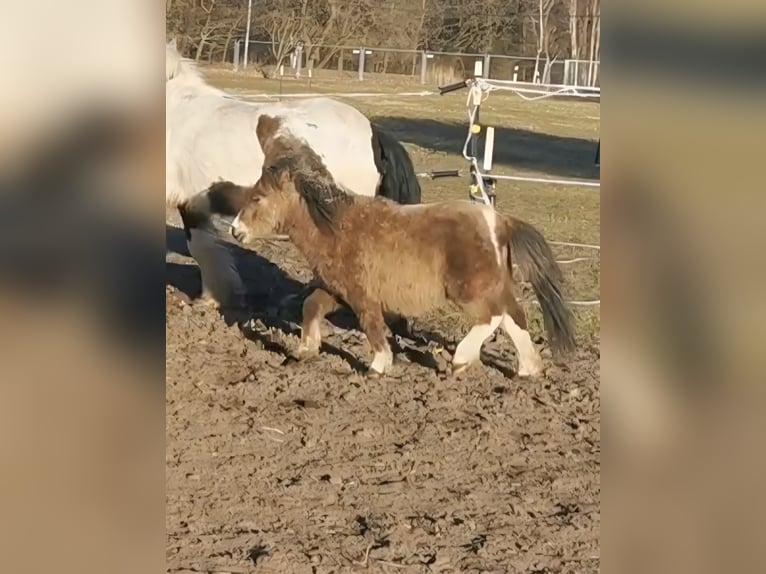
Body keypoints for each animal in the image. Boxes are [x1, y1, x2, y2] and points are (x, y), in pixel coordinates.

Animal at [205, 115, 576, 376]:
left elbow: (371, 326)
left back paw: (461, 360)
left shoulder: (363, 295)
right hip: (493, 286)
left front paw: (378, 365)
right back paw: (528, 369)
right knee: (514, 318)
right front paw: (306, 350)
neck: (337, 227)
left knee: (494, 316)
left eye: (257, 197)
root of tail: (500, 221)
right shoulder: (335, 290)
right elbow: (311, 307)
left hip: (469, 290)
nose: (236, 230)